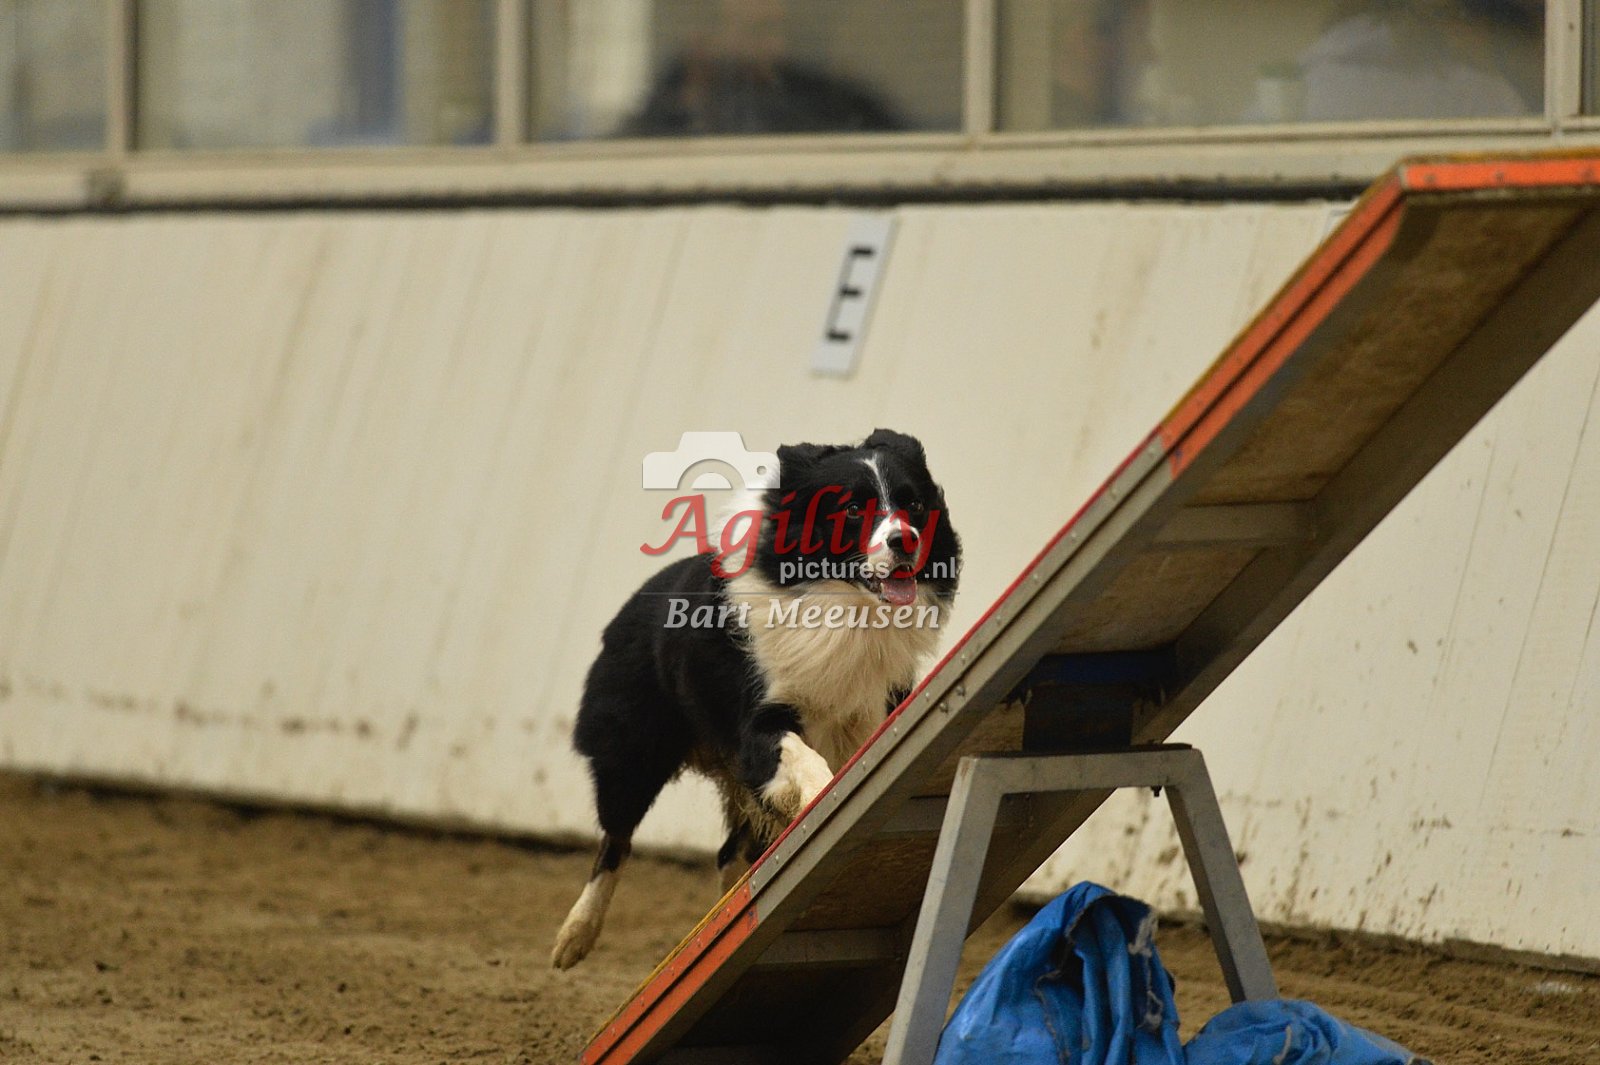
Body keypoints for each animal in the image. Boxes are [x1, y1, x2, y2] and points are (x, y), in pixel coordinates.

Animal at [550, 429, 960, 969]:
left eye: (912, 504)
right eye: (852, 509)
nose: (905, 540)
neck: (842, 602)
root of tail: (637, 596)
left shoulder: (880, 713)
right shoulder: (758, 725)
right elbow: (802, 755)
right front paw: (819, 795)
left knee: (729, 852)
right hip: (632, 750)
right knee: (615, 840)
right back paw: (574, 938)